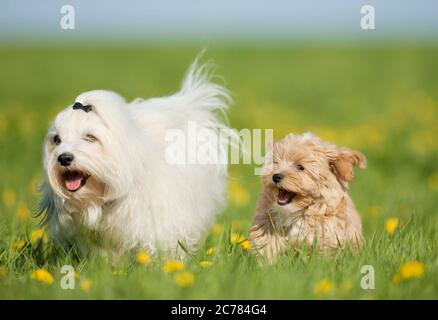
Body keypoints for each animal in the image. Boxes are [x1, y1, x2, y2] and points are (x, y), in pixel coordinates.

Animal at [250, 132, 366, 262]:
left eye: (300, 167)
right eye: (276, 163)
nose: (275, 176)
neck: (297, 211)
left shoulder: (325, 230)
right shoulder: (267, 221)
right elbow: (267, 243)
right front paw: (266, 264)